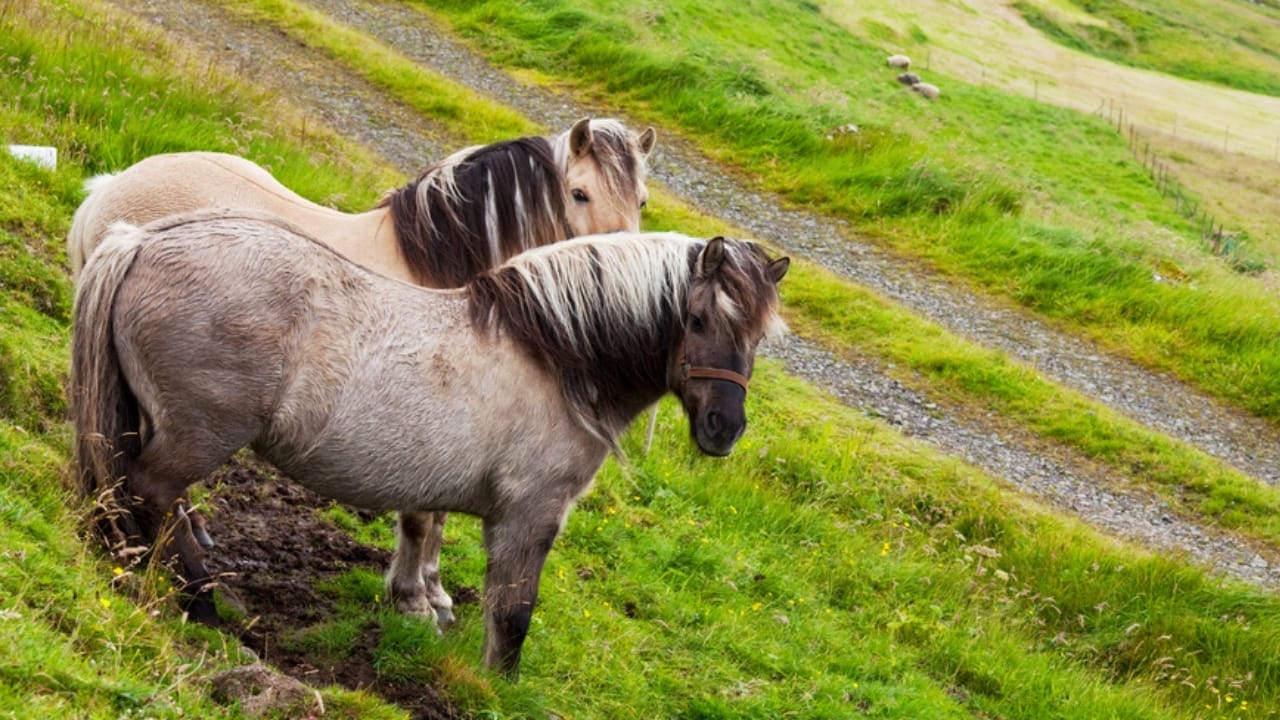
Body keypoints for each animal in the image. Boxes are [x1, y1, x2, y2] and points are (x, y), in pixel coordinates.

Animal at [67, 117, 657, 629]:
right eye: (579, 193)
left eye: (642, 201)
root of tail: (112, 194)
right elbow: (421, 517)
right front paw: (414, 602)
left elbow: (440, 518)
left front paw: (436, 595)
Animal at [70, 208, 789, 677]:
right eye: (698, 320)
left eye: (756, 337)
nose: (724, 429)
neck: (552, 356)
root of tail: (141, 241)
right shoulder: (529, 517)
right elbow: (511, 612)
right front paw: (495, 686)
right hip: (198, 437)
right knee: (150, 495)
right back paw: (197, 604)